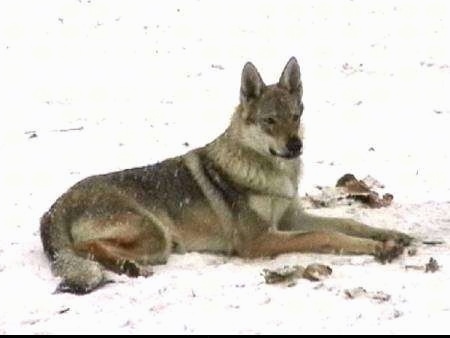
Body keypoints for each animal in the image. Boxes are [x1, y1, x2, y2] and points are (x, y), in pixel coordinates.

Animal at [40, 58, 414, 294]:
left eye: (295, 116)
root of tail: (53, 209)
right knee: (85, 249)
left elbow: (349, 224)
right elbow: (326, 235)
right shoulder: (259, 241)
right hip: (157, 237)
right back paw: (128, 266)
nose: (295, 145)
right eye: (269, 121)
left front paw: (394, 236)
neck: (272, 174)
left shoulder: (291, 217)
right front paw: (378, 248)